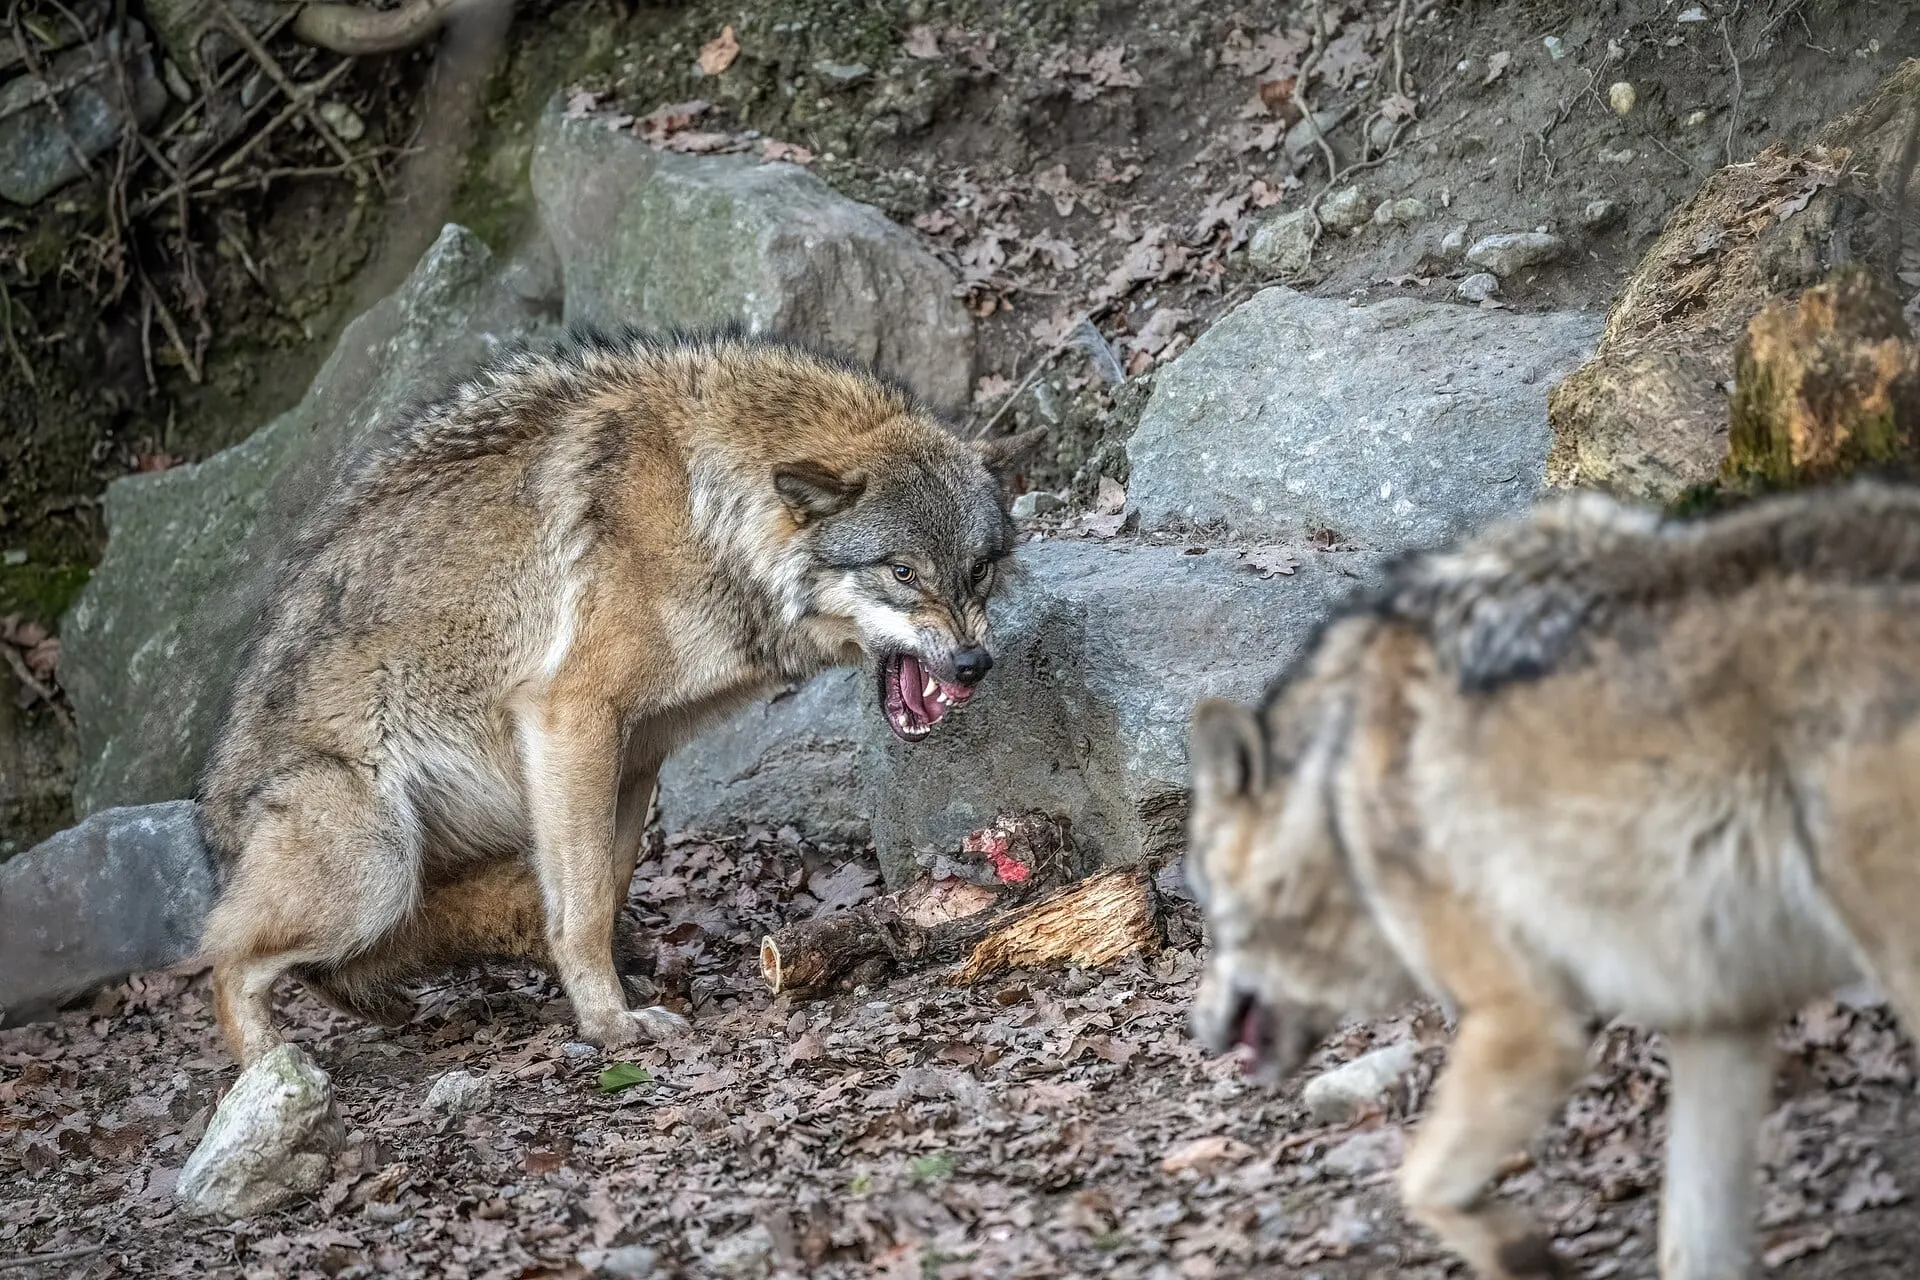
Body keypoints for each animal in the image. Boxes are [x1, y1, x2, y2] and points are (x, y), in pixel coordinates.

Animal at [197, 331, 1039, 1067]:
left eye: (978, 570)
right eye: (901, 572)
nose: (973, 663)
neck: (707, 517)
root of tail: (217, 826)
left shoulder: (638, 753)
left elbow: (607, 884)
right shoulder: (571, 718)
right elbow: (584, 906)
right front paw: (610, 1023)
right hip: (375, 869)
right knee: (219, 953)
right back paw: (271, 1074)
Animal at [1184, 480, 1920, 1280]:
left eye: (1206, 908)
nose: (1196, 1028)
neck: (1333, 784)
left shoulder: (1528, 1022)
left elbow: (1418, 1184)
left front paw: (1526, 1254)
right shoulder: (1717, 1015)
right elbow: (1692, 1242)